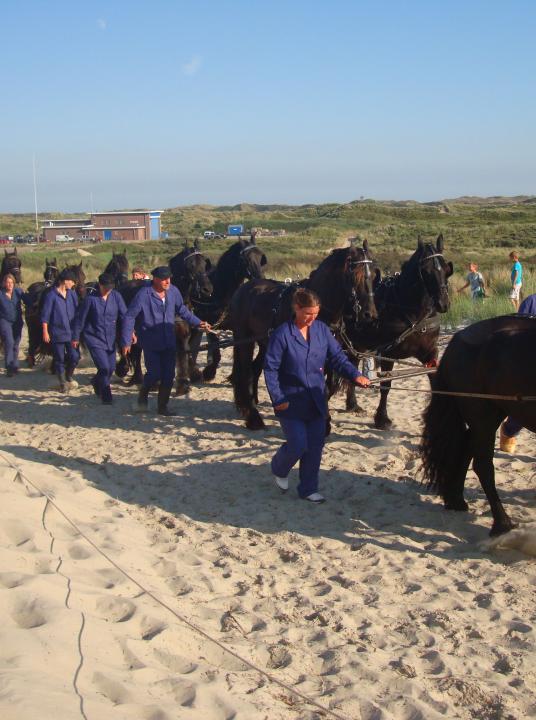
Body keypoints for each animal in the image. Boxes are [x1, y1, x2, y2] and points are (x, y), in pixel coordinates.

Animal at [230, 242, 376, 430]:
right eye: (356, 276)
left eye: (374, 275)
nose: (369, 314)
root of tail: (243, 289)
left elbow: (329, 386)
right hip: (244, 340)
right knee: (244, 373)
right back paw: (253, 417)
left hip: (264, 342)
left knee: (255, 369)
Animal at [340, 235, 452, 428]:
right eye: (426, 271)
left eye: (446, 269)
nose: (443, 303)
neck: (412, 313)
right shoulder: (388, 353)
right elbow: (386, 385)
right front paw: (382, 418)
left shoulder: (429, 352)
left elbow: (434, 380)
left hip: (357, 345)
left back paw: (352, 404)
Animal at [420, 314, 532, 536]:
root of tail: (458, 337)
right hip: (482, 416)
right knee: (483, 465)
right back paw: (502, 523)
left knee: (466, 448)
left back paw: (456, 500)